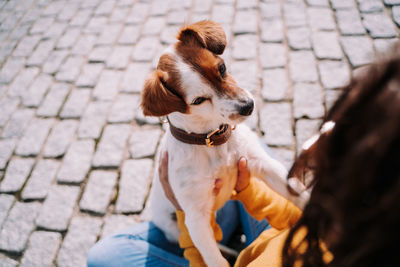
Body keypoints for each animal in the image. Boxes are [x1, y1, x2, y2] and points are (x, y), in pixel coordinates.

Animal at [141, 19, 310, 266]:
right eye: (198, 100)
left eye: (221, 68)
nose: (248, 106)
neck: (212, 142)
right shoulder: (195, 217)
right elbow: (213, 257)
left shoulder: (262, 164)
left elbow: (297, 193)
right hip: (172, 227)